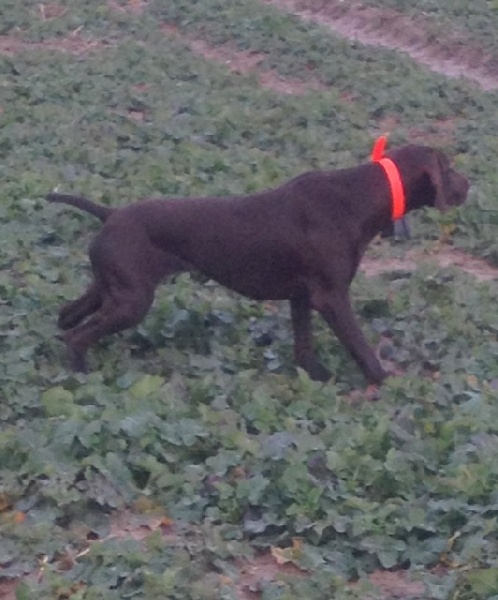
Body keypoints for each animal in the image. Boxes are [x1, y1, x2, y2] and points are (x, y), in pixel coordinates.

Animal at [44, 143, 468, 382]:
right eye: (447, 169)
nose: (468, 185)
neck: (357, 197)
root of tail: (111, 214)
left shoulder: (302, 298)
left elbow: (304, 347)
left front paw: (316, 378)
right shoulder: (331, 297)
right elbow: (360, 347)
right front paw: (384, 382)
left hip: (111, 288)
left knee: (67, 317)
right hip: (132, 301)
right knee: (77, 335)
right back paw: (84, 381)